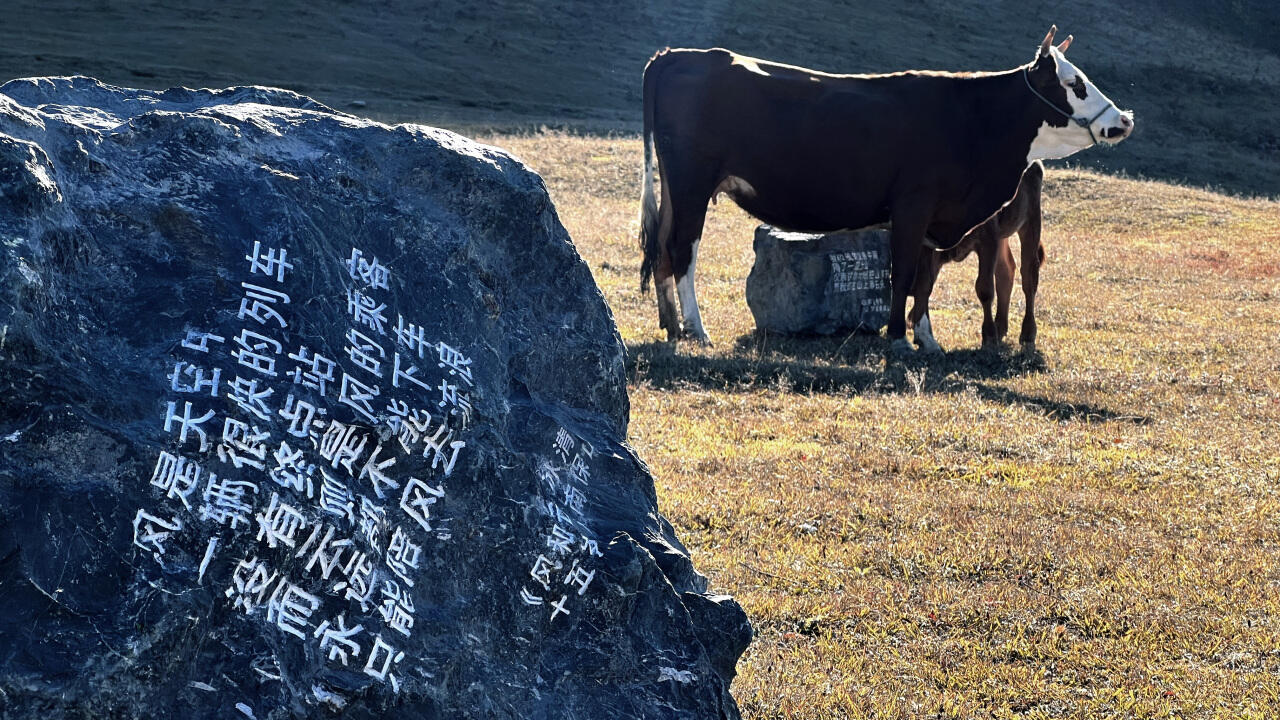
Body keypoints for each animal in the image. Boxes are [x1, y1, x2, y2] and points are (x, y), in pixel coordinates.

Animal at [640, 28, 1131, 353]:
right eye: (1074, 83)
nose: (1123, 119)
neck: (973, 120)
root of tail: (678, 54)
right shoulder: (913, 206)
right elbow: (905, 274)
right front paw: (897, 339)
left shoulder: (934, 214)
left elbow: (924, 279)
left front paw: (926, 338)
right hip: (692, 183)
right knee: (682, 250)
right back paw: (696, 329)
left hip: (675, 188)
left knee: (661, 249)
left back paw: (671, 325)